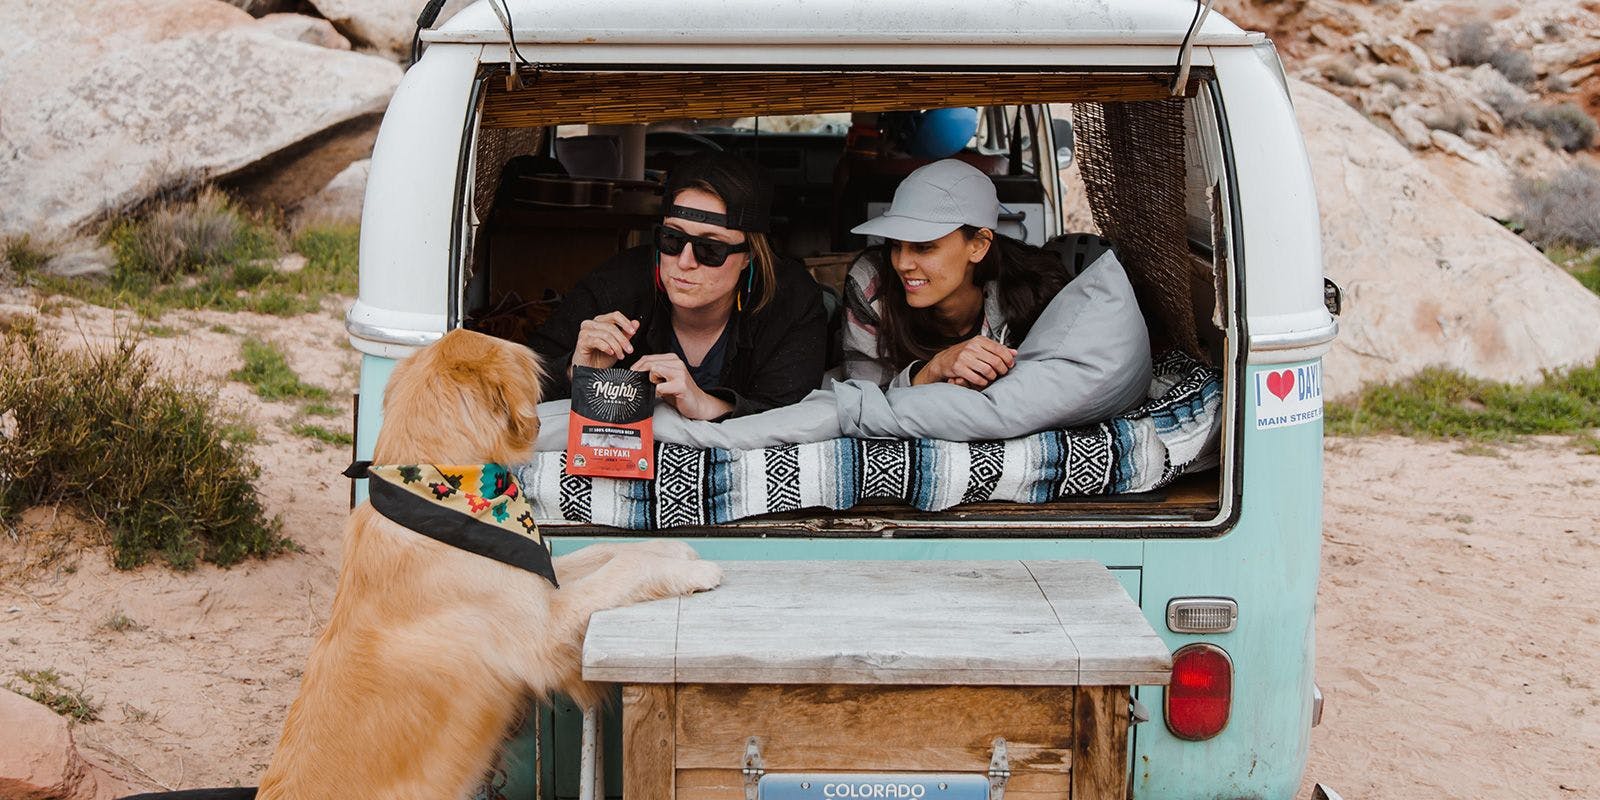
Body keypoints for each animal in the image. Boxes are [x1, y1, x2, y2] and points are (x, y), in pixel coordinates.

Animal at [256, 328, 720, 796]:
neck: (444, 489)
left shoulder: (537, 581)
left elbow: (609, 553)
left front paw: (673, 551)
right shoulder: (543, 633)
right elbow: (621, 571)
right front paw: (693, 570)